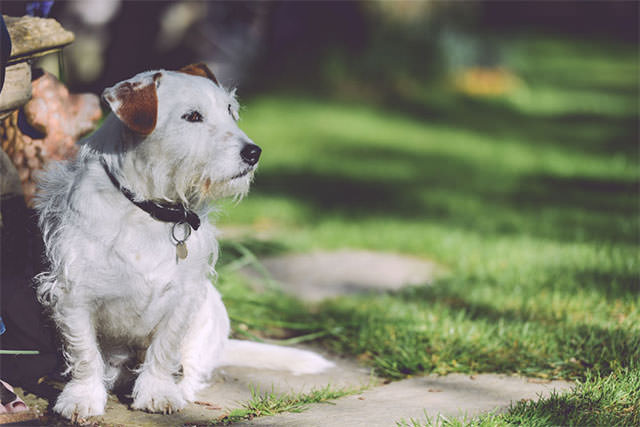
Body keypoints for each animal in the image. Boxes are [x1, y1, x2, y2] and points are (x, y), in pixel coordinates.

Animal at [35, 64, 332, 422]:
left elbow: (165, 348)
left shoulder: (183, 296)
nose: (254, 152)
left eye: (230, 110)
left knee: (189, 368)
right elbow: (84, 353)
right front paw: (82, 397)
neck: (147, 210)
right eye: (192, 116)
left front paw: (157, 392)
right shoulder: (74, 295)